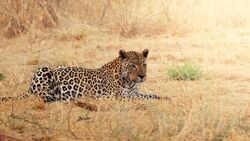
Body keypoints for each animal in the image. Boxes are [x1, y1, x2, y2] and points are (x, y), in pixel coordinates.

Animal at [0, 49, 170, 103]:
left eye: (144, 64)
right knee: (42, 98)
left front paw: (165, 97)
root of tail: (28, 89)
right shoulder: (117, 97)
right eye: (132, 65)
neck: (128, 82)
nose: (142, 76)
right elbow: (137, 99)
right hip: (44, 69)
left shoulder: (135, 92)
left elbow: (150, 95)